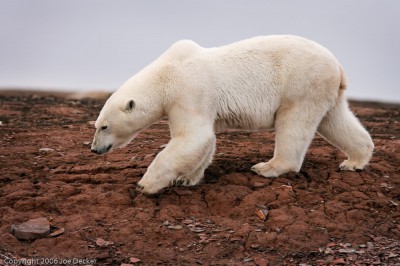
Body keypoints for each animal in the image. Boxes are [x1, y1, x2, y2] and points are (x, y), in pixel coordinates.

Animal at [91, 34, 376, 193]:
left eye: (104, 126)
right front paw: (187, 178)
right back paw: (354, 160)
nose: (95, 149)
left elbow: (193, 137)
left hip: (302, 84)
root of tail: (337, 66)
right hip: (325, 92)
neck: (165, 75)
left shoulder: (188, 93)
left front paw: (146, 184)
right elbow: (205, 141)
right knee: (336, 120)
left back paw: (267, 167)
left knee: (294, 124)